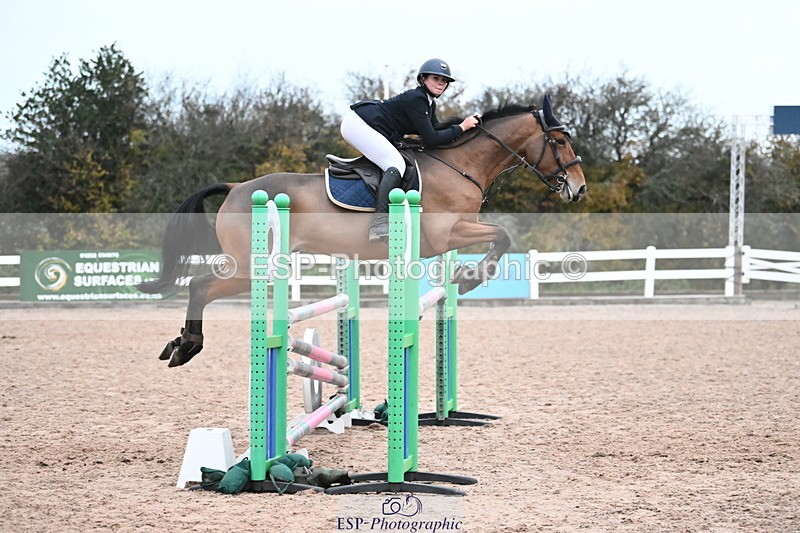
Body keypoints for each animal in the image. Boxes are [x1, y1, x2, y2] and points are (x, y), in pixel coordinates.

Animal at [139, 96, 586, 367]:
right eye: (561, 140)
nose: (578, 189)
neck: (461, 165)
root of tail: (236, 188)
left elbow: (501, 236)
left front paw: (466, 276)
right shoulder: (447, 234)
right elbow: (503, 235)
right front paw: (471, 278)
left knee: (200, 286)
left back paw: (179, 344)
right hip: (251, 267)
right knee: (199, 286)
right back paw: (187, 346)